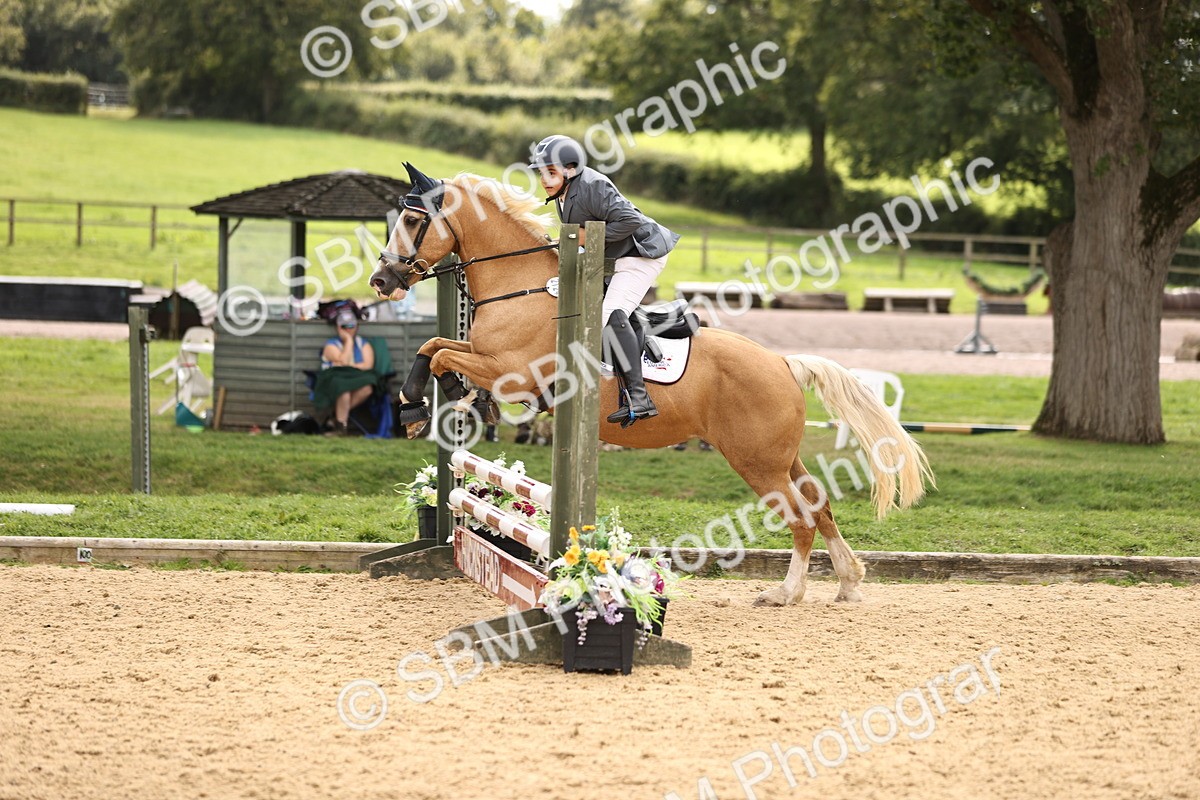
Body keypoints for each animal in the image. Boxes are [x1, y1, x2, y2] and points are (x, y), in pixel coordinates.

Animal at [370, 169, 934, 607]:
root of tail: (783, 362)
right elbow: (434, 345)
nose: (381, 281)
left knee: (799, 517)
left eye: (414, 221)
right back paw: (848, 582)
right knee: (818, 503)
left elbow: (442, 354)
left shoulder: (512, 370)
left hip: (755, 460)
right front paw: (438, 402)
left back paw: (786, 593)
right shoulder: (488, 357)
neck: (520, 286)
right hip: (779, 455)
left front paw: (426, 404)